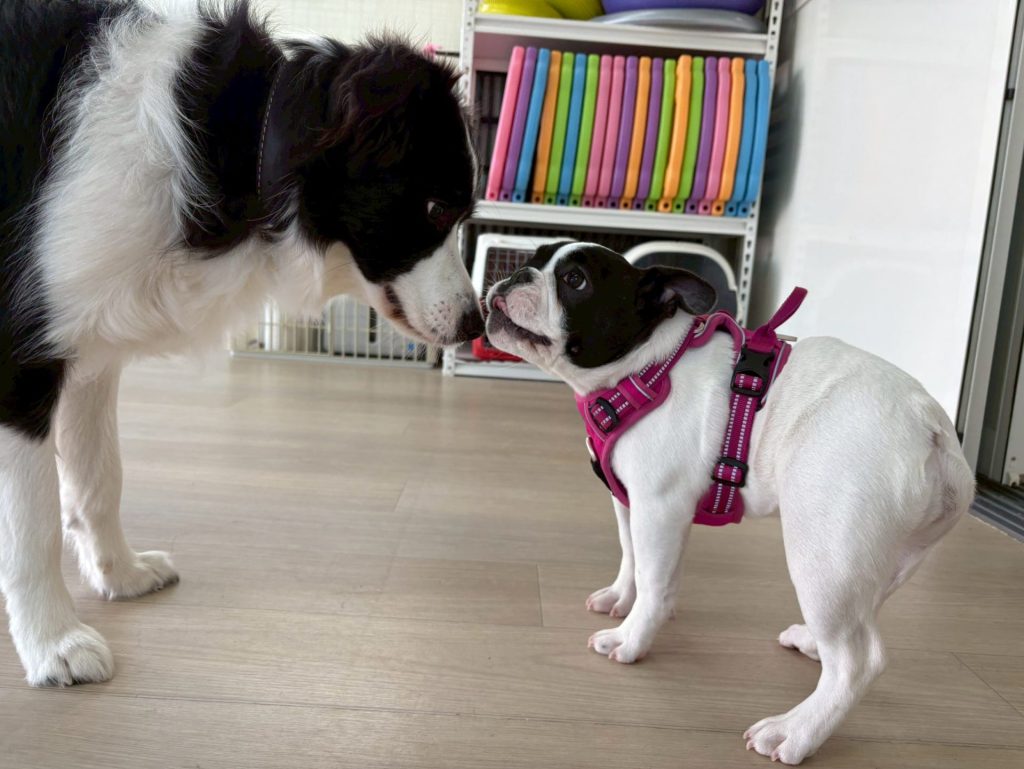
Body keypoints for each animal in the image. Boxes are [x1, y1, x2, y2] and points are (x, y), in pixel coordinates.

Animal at [0, 0, 483, 686]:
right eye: (438, 208)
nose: (476, 324)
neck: (244, 145)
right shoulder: (23, 355)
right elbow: (31, 521)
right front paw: (53, 643)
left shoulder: (87, 345)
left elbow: (100, 475)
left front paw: (120, 574)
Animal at [484, 241, 974, 765]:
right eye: (532, 259)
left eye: (575, 281)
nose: (515, 275)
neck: (646, 367)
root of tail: (932, 427)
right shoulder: (631, 504)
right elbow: (632, 557)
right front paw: (621, 599)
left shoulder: (659, 508)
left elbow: (656, 584)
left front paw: (632, 639)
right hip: (882, 555)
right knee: (862, 616)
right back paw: (812, 644)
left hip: (821, 551)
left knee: (857, 662)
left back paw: (794, 732)